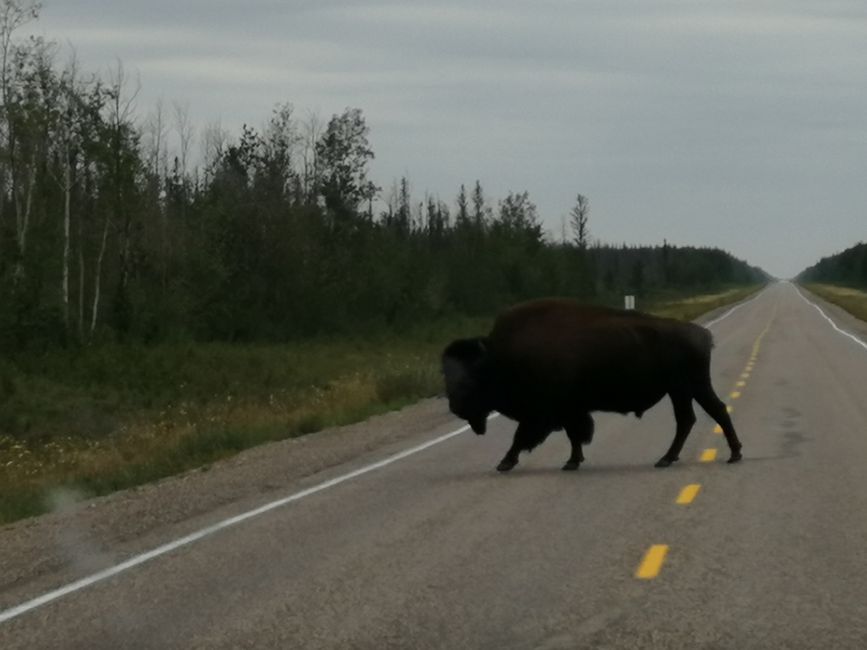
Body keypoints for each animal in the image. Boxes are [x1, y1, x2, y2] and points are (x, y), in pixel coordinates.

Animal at [444, 298, 744, 470]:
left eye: (469, 380)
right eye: (447, 376)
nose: (455, 407)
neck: (500, 357)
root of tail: (701, 333)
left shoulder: (547, 412)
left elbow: (525, 436)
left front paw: (505, 463)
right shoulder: (569, 410)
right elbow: (573, 435)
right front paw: (572, 461)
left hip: (685, 387)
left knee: (696, 416)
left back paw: (677, 458)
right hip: (687, 388)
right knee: (705, 413)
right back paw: (719, 455)